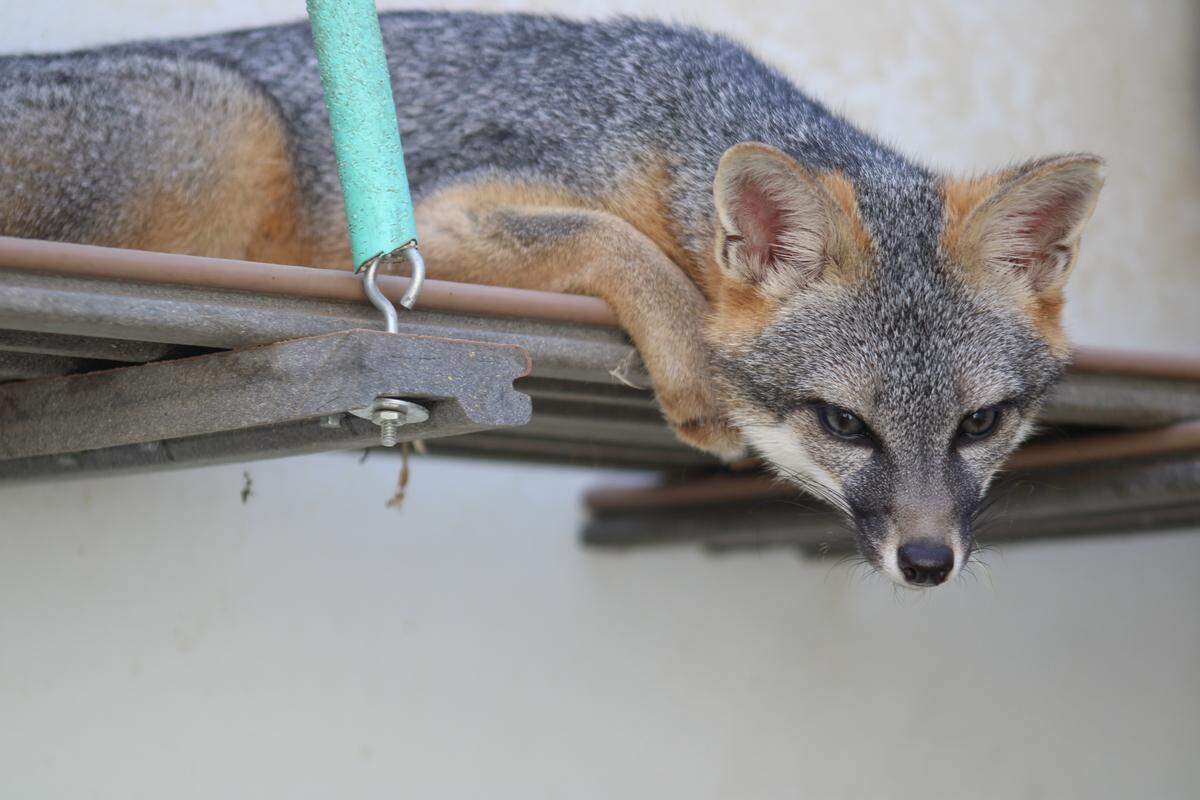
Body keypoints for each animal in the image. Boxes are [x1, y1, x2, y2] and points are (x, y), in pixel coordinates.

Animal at [0, 11, 1104, 587]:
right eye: (845, 423)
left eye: (981, 423)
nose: (927, 560)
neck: (670, 135)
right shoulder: (436, 221)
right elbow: (611, 239)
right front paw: (692, 367)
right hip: (229, 125)